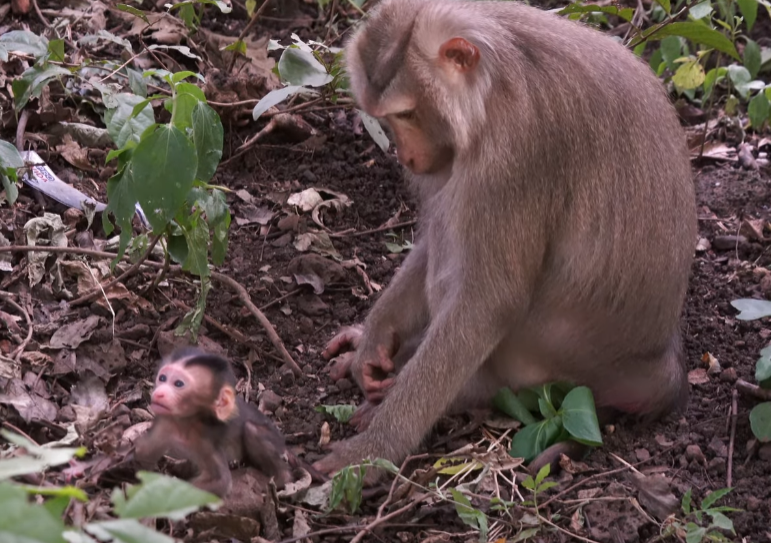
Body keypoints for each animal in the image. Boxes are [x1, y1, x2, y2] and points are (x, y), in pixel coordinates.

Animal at [134, 347, 292, 498]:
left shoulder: (206, 438)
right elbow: (143, 454)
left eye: (178, 383)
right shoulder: (165, 422)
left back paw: (279, 478)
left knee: (251, 429)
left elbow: (220, 482)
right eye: (162, 378)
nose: (159, 393)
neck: (185, 422)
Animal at [313, 0, 697, 480]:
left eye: (404, 114)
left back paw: (461, 389)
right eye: (385, 117)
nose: (405, 156)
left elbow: (490, 301)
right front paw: (372, 340)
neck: (491, 90)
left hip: (542, 358)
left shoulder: (517, 153)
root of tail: (658, 367)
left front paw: (375, 450)